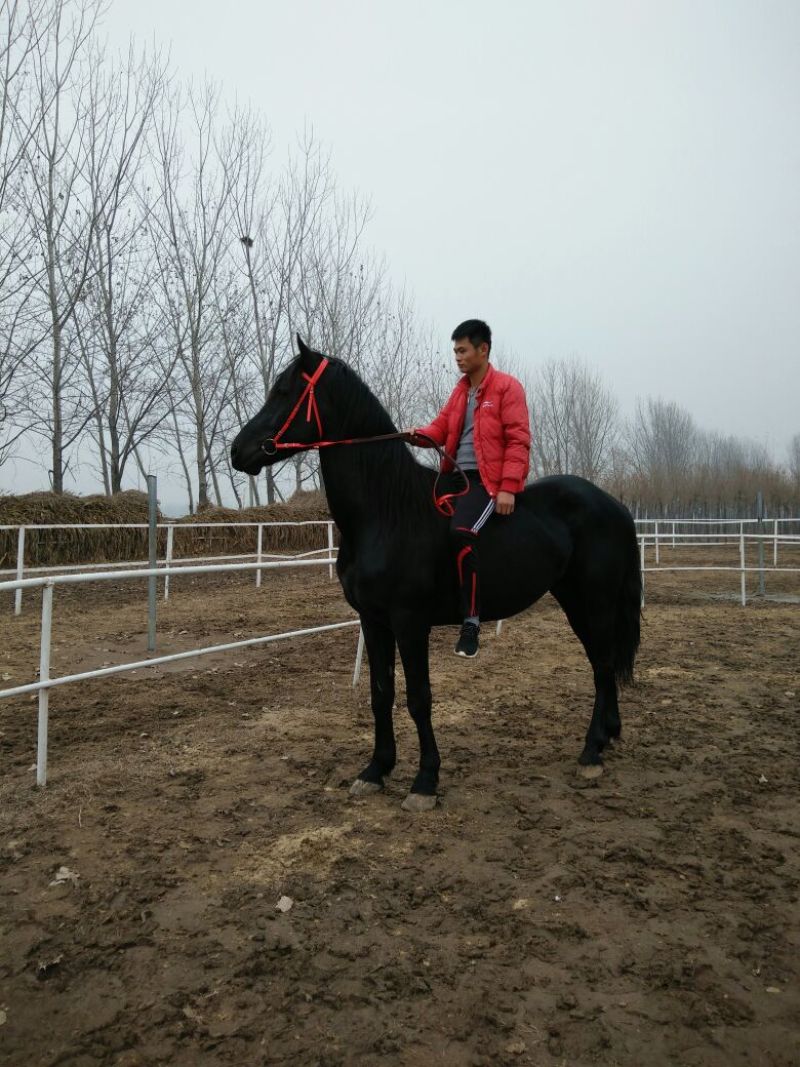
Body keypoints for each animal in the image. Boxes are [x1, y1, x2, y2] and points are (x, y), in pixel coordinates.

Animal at [231, 337, 641, 812]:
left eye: (284, 392)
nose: (238, 451)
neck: (386, 512)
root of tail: (613, 505)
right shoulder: (373, 621)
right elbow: (381, 693)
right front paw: (376, 770)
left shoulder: (410, 623)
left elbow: (418, 698)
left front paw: (425, 780)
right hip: (574, 599)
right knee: (602, 662)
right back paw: (608, 735)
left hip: (595, 599)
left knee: (602, 663)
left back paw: (592, 751)